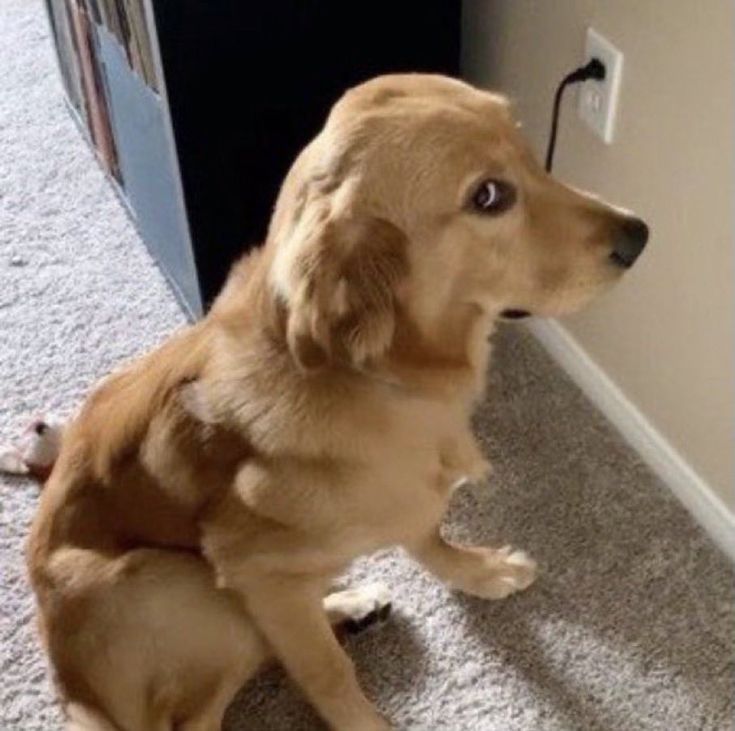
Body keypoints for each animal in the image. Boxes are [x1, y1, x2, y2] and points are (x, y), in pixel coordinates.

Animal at [27, 70, 648, 731]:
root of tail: (75, 690)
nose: (638, 235)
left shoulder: (405, 502)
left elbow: (428, 535)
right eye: (489, 196)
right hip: (179, 581)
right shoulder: (253, 570)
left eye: (531, 154)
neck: (386, 379)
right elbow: (327, 672)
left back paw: (348, 604)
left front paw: (475, 571)